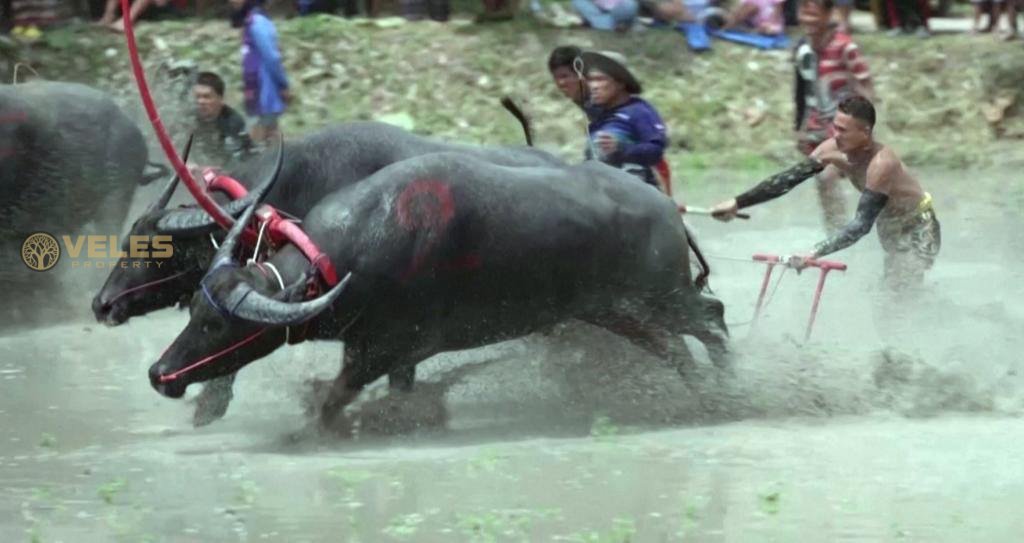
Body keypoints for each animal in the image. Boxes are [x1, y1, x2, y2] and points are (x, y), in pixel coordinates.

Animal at [148, 149, 733, 428]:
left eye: (216, 323)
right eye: (193, 308)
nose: (159, 373)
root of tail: (668, 208)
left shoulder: (384, 349)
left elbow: (334, 401)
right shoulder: (389, 353)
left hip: (662, 297)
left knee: (712, 317)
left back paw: (732, 395)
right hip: (618, 313)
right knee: (674, 349)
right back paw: (701, 397)